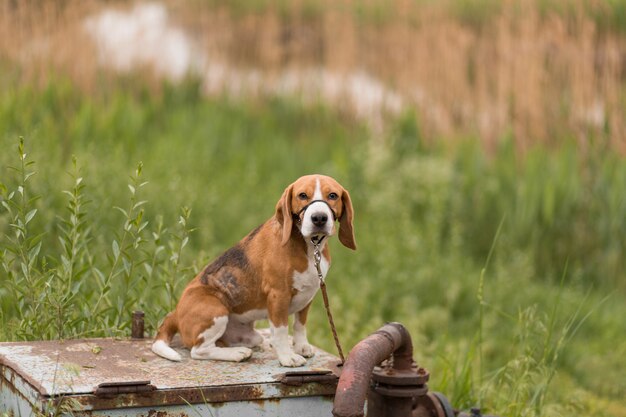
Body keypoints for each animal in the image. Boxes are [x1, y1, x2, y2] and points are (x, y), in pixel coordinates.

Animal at [151, 174, 354, 366]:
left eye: (333, 195)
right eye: (302, 195)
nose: (319, 218)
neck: (310, 247)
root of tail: (175, 312)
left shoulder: (308, 294)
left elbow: (299, 325)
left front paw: (300, 346)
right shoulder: (278, 296)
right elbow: (281, 330)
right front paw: (287, 357)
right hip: (216, 310)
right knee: (199, 350)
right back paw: (237, 353)